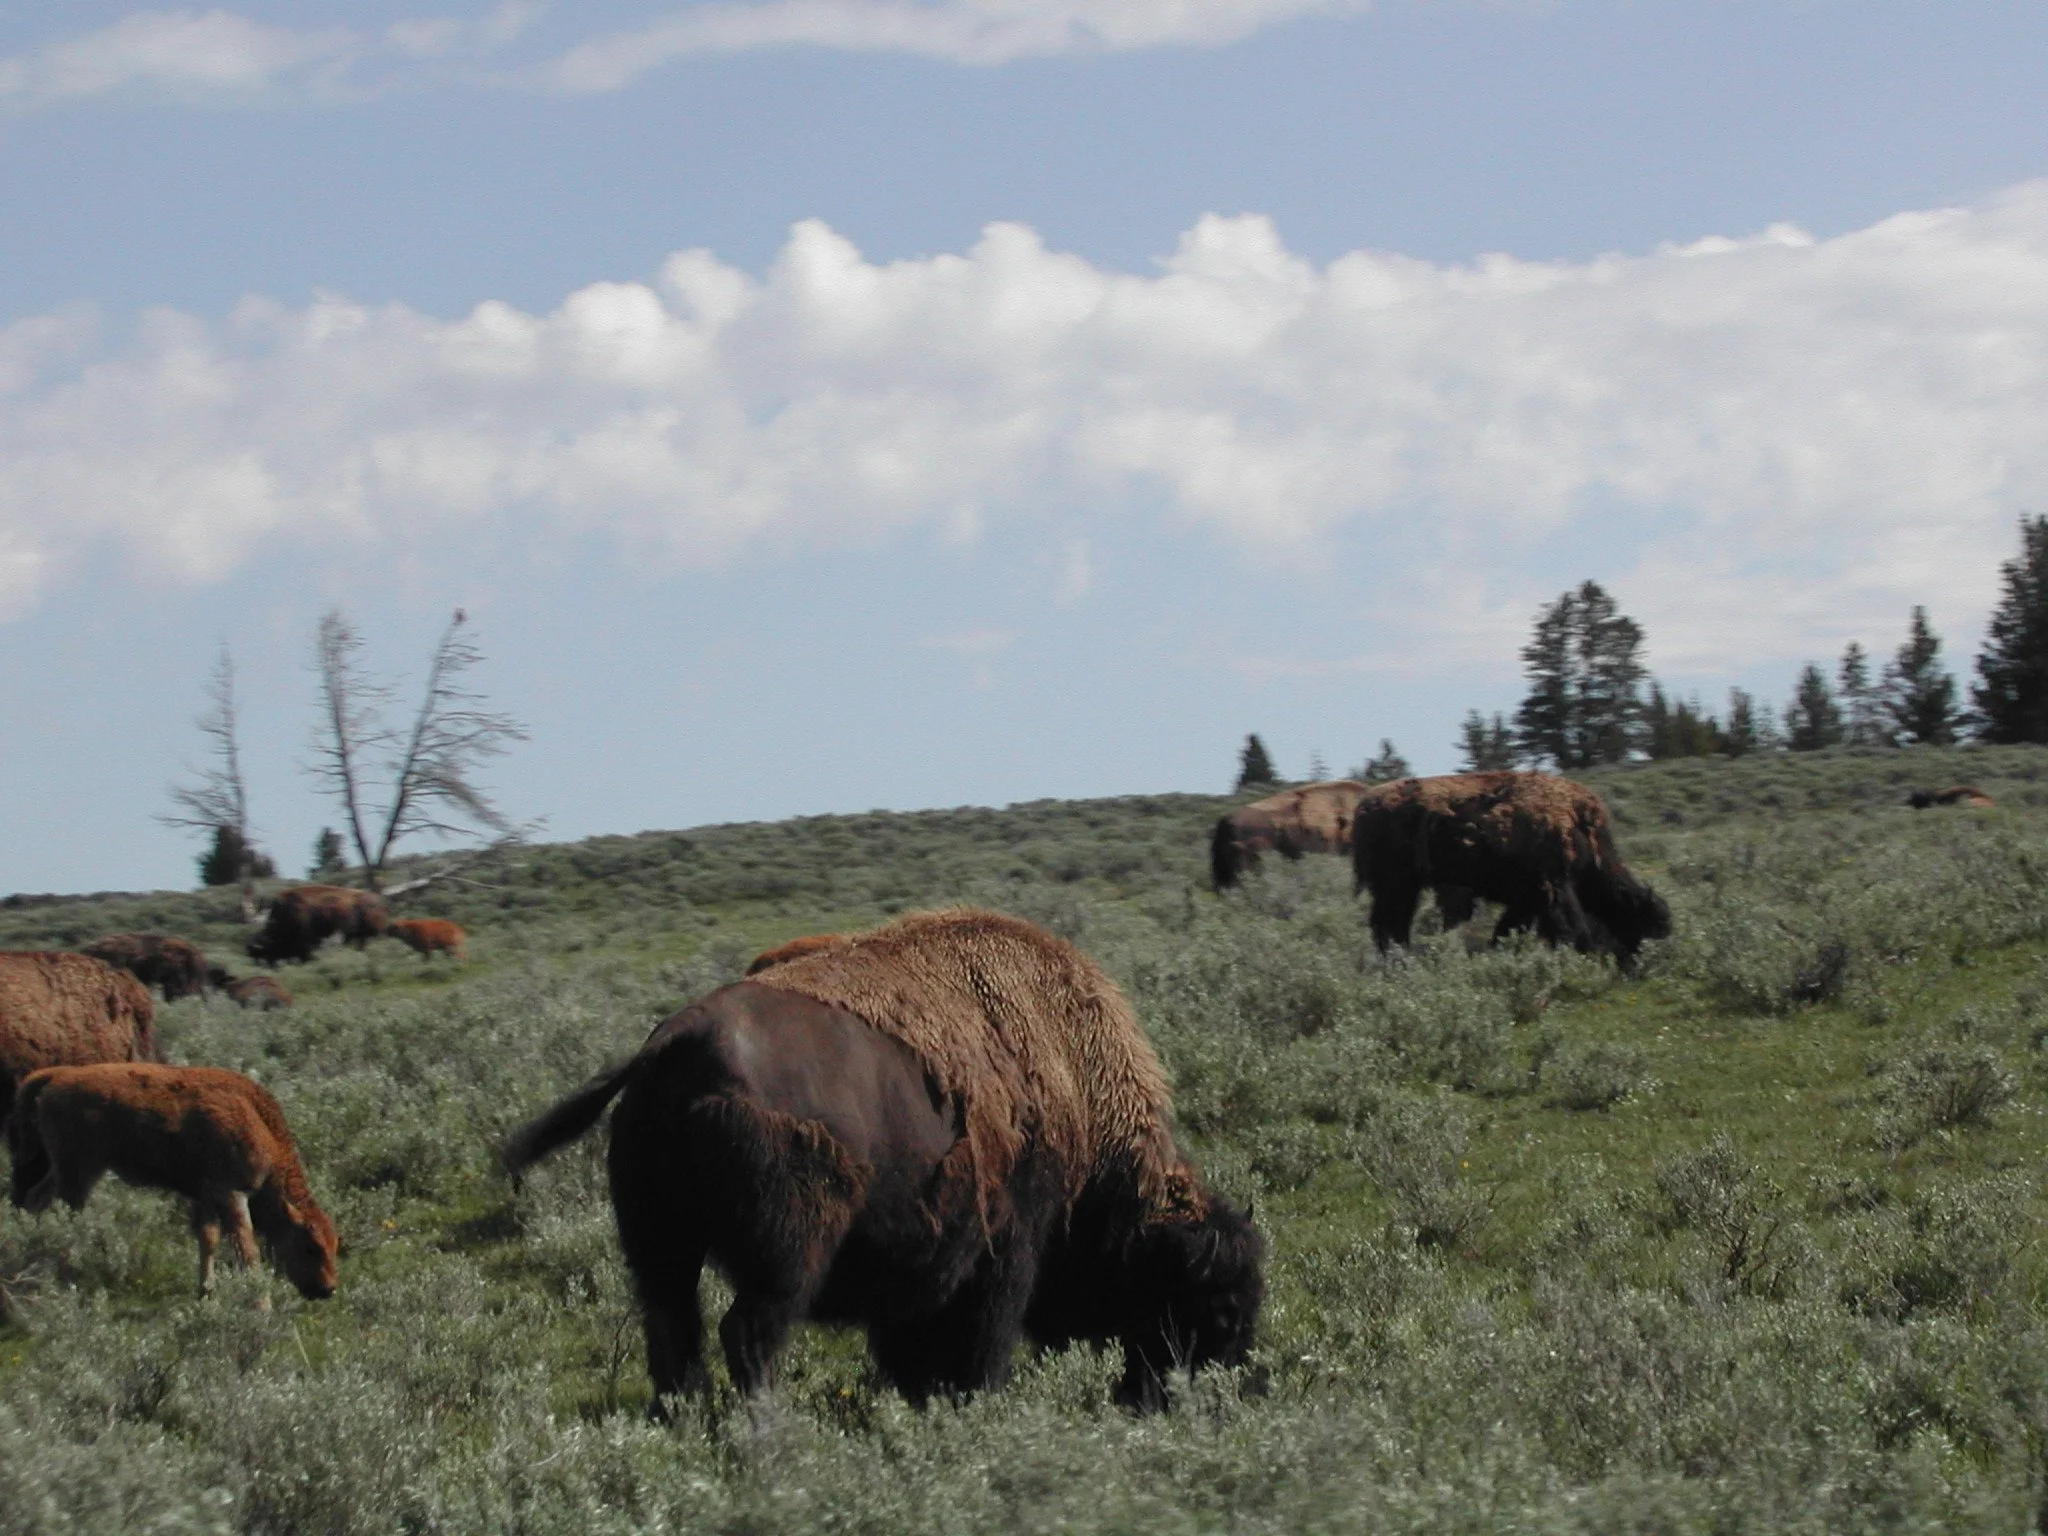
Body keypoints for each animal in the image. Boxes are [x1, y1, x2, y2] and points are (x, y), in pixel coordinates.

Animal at [503, 908, 1263, 1413]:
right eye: (1218, 1307)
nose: (1215, 1391)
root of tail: (667, 1048)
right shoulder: (1009, 1246)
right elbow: (985, 1339)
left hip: (663, 1244)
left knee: (673, 1329)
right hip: (789, 1251)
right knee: (748, 1332)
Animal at [1354, 772, 1671, 966]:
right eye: (1641, 923)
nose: (1638, 965)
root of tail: (1366, 805)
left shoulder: (1527, 899)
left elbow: (1507, 928)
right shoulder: (1554, 887)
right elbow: (1572, 928)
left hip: (1401, 887)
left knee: (1389, 925)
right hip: (1398, 886)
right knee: (1390, 925)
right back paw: (1399, 960)